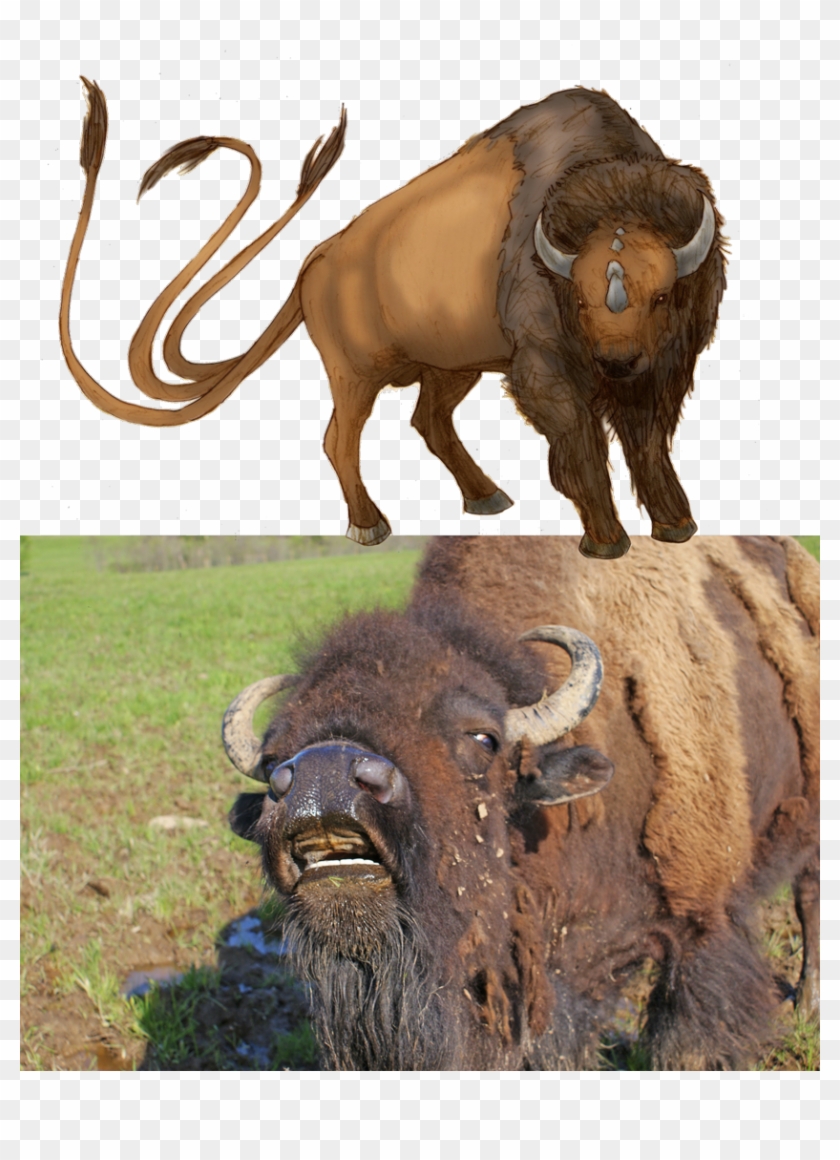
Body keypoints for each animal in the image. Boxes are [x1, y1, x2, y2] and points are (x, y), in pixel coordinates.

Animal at [62, 85, 725, 556]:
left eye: (662, 294)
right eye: (580, 297)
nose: (616, 359)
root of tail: (313, 265)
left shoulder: (659, 372)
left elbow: (647, 442)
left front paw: (677, 524)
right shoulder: (547, 371)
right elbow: (582, 441)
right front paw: (606, 541)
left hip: (451, 365)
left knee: (427, 420)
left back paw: (487, 498)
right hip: (355, 374)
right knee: (340, 438)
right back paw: (370, 527)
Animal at [224, 536, 818, 1070]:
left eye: (484, 738)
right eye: (275, 758)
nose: (322, 775)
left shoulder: (701, 930)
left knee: (810, 900)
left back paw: (808, 1006)